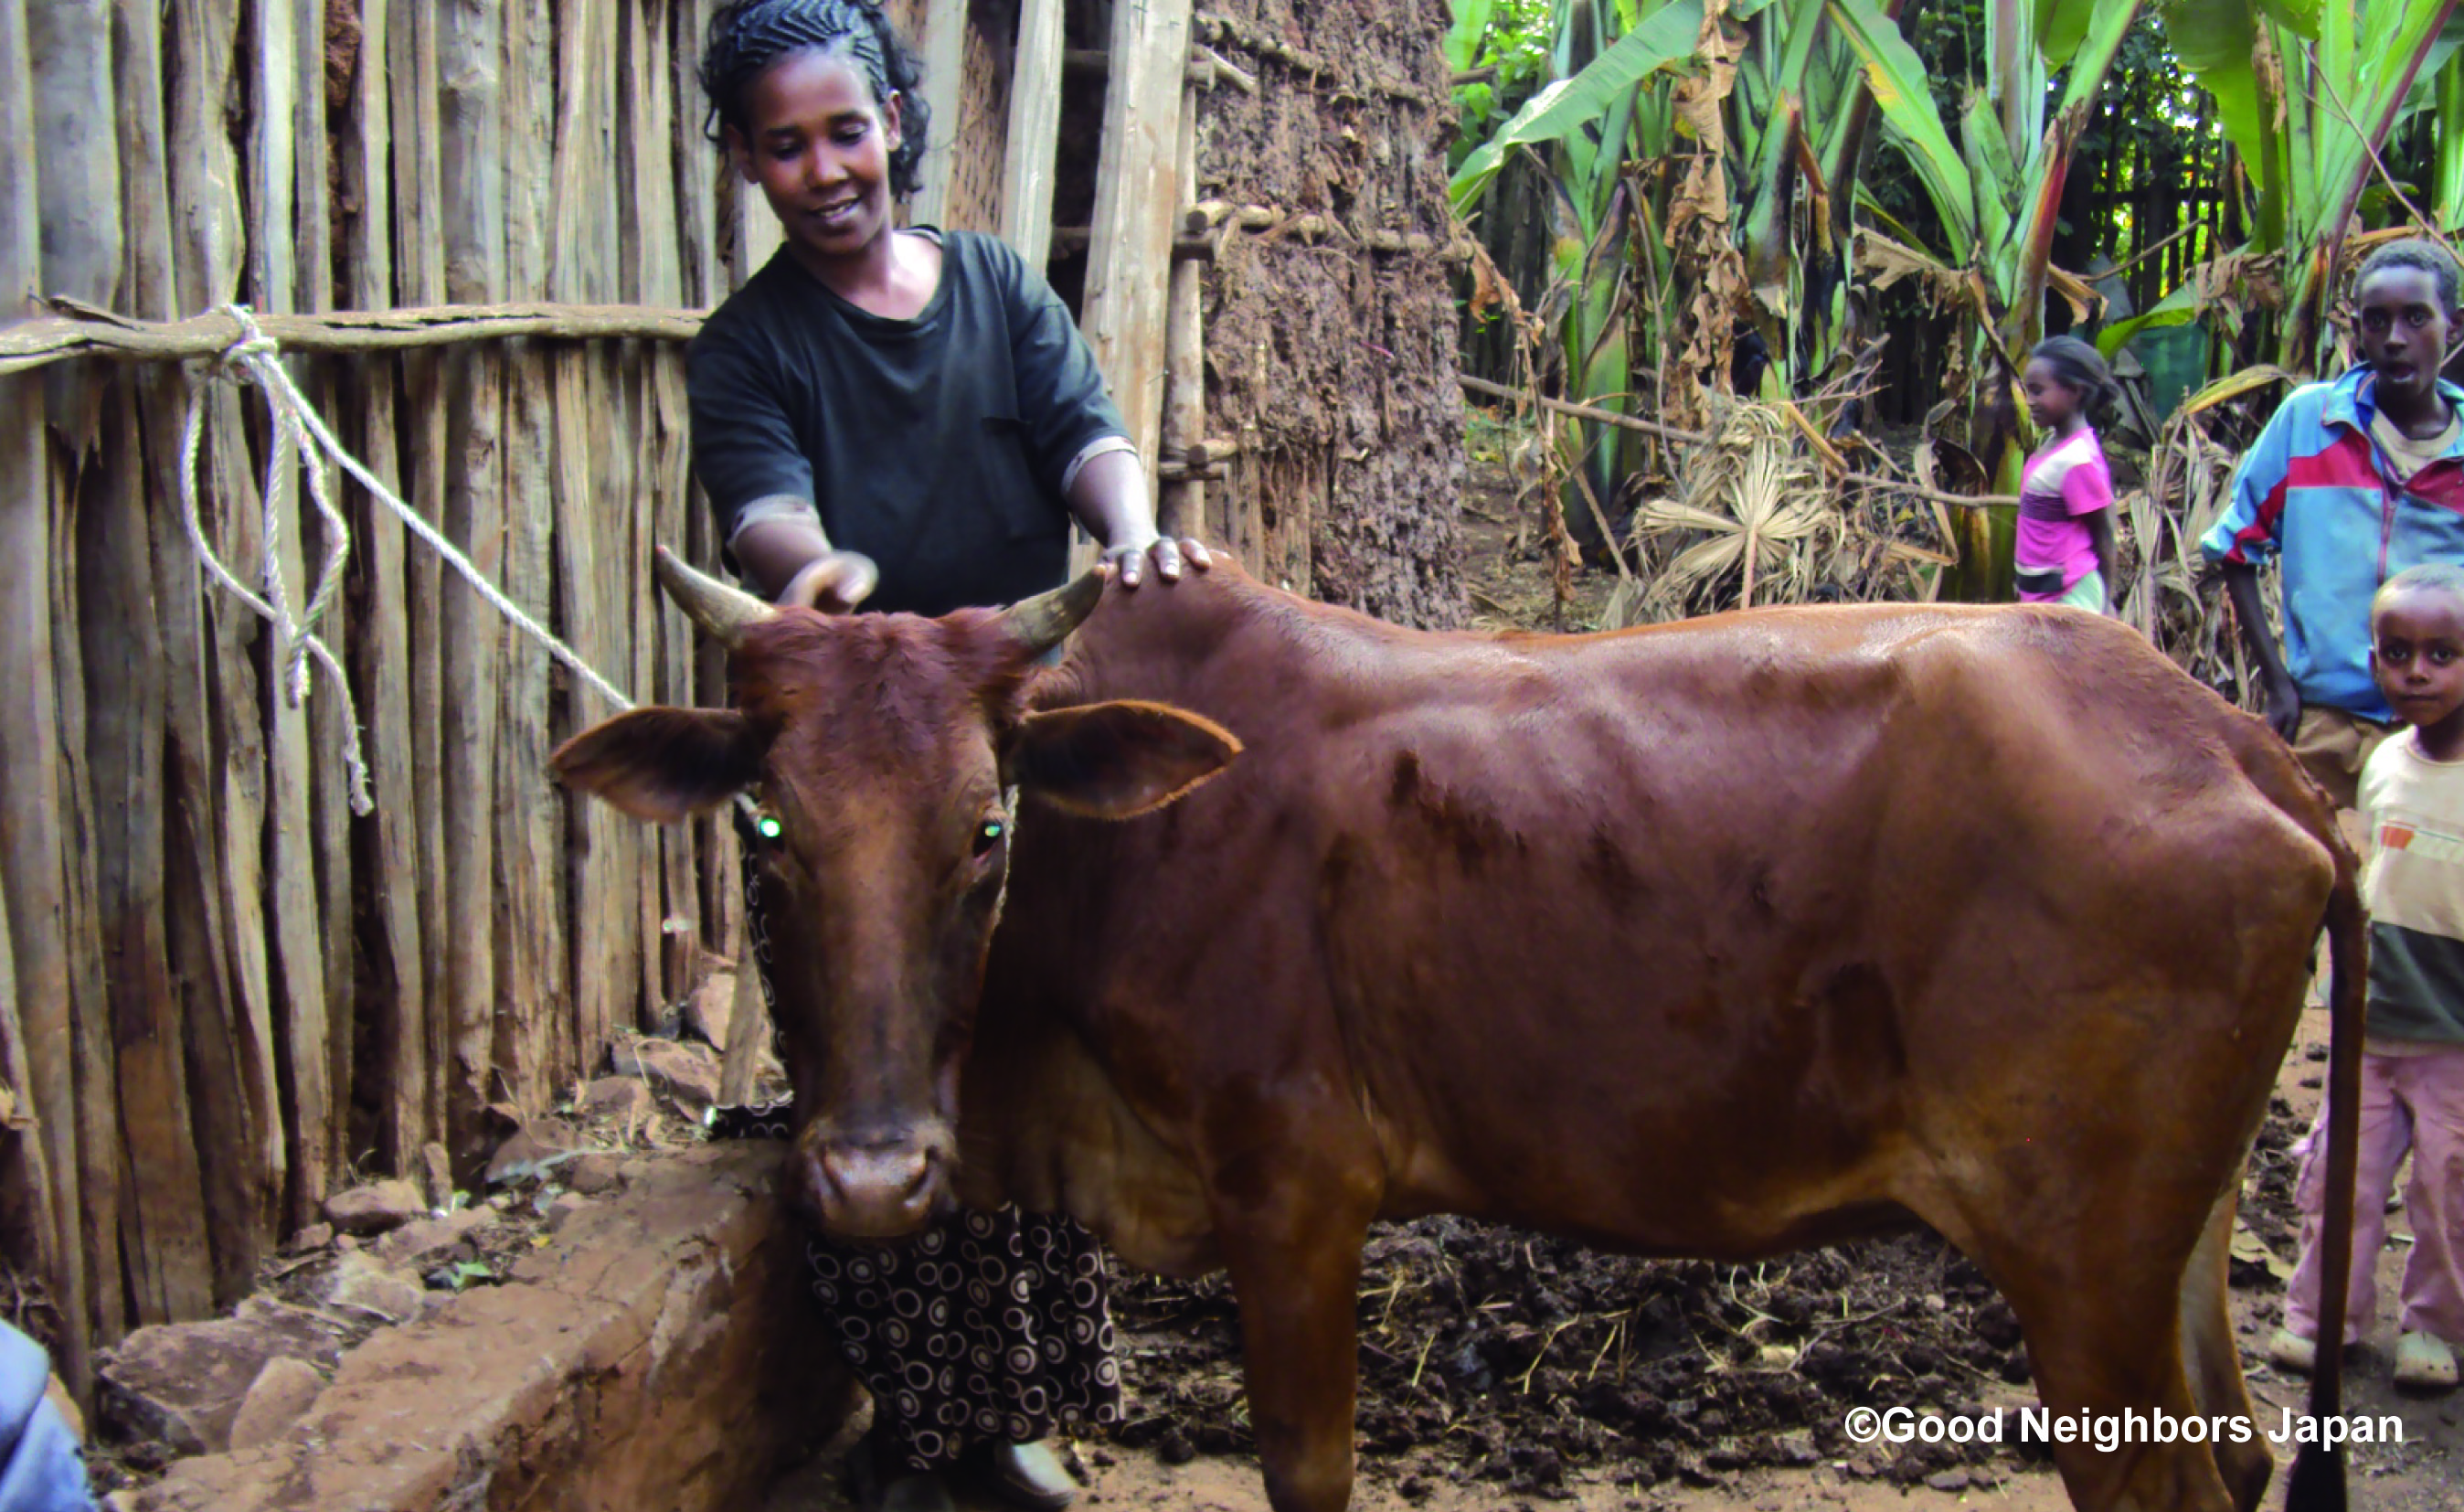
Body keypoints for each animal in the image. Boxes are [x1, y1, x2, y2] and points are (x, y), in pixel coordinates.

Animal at [554, 554, 2365, 1512]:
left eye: (984, 825)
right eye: (766, 830)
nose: (870, 1175)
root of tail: (2233, 742)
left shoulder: (1291, 1189)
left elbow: (1309, 1466)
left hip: (2081, 1272)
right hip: (2167, 1252)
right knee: (2248, 1447)